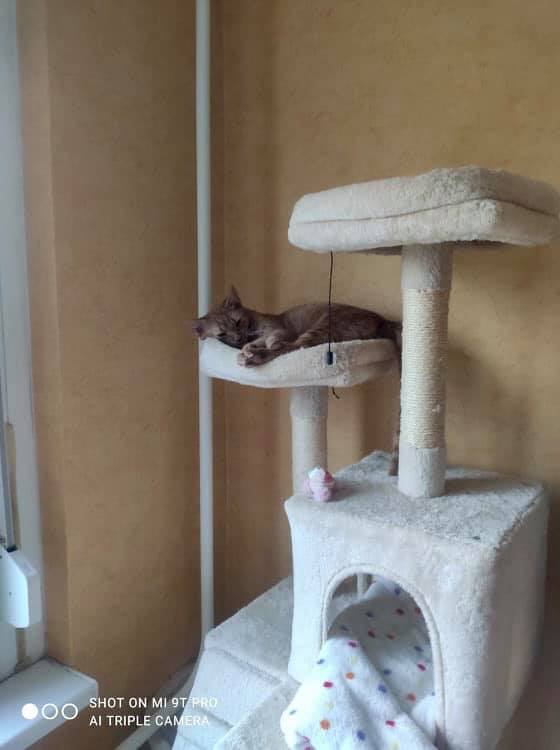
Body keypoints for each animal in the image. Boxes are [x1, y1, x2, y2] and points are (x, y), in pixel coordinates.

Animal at [194, 287, 402, 475]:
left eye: (237, 322)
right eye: (221, 334)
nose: (238, 338)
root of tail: (382, 319)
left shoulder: (279, 330)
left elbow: (271, 338)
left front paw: (253, 347)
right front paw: (248, 347)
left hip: (325, 325)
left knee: (291, 347)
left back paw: (256, 355)